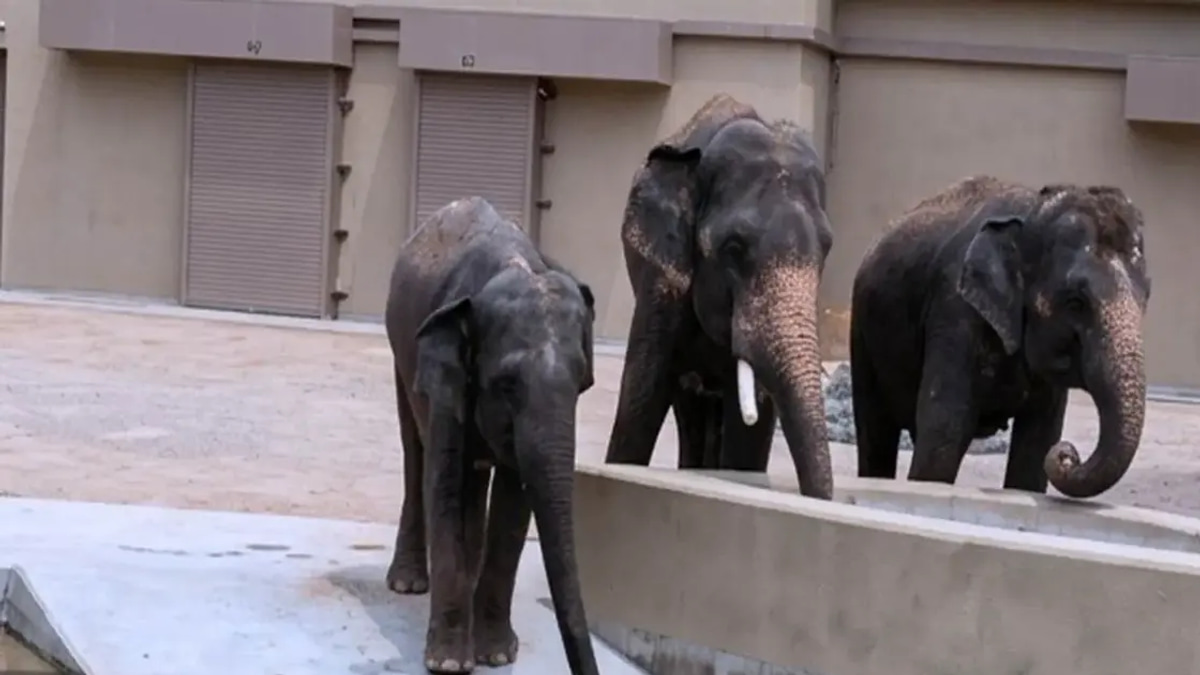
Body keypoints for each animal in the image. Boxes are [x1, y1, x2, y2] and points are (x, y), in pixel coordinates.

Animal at [383, 196, 599, 674]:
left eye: (582, 383)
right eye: (507, 384)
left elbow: (514, 501)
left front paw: (497, 656)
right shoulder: (443, 372)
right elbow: (444, 479)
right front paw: (449, 663)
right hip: (400, 356)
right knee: (415, 451)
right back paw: (406, 584)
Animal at [849, 175, 1151, 498]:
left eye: (1146, 297)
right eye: (1075, 303)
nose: (1068, 455)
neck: (1033, 210)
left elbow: (1037, 442)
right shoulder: (955, 310)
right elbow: (946, 428)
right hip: (862, 333)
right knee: (876, 430)